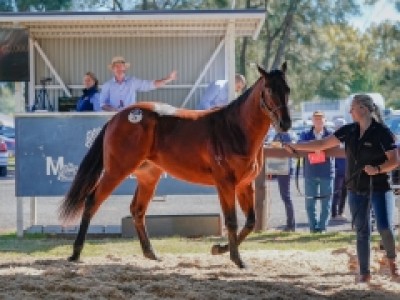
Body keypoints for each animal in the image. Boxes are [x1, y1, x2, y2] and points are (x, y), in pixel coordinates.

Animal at [59, 62, 290, 268]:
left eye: (287, 89)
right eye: (269, 89)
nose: (285, 124)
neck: (234, 128)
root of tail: (119, 116)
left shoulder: (244, 184)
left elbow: (250, 222)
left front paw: (219, 249)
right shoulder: (225, 183)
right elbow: (232, 220)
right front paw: (237, 259)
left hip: (148, 176)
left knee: (137, 210)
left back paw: (151, 253)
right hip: (116, 171)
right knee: (92, 201)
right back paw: (75, 253)